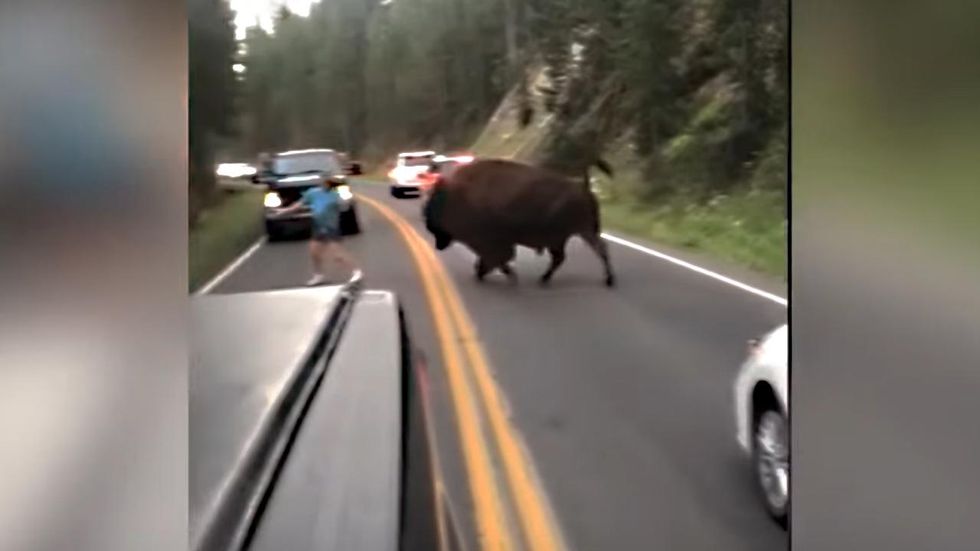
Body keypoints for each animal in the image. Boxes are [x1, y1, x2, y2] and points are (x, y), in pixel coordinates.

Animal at [420, 157, 612, 286]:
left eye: (433, 207)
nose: (438, 244)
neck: (458, 195)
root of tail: (583, 187)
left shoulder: (490, 240)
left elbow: (498, 257)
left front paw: (498, 274)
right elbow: (496, 258)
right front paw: (488, 272)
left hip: (580, 231)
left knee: (598, 250)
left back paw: (608, 281)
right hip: (570, 236)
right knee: (563, 257)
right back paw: (544, 279)